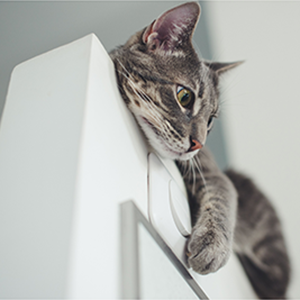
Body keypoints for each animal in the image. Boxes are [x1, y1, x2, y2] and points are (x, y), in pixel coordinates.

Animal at [110, 1, 290, 298]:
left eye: (211, 120)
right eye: (185, 97)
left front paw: (213, 245)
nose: (199, 144)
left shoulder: (213, 172)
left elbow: (221, 200)